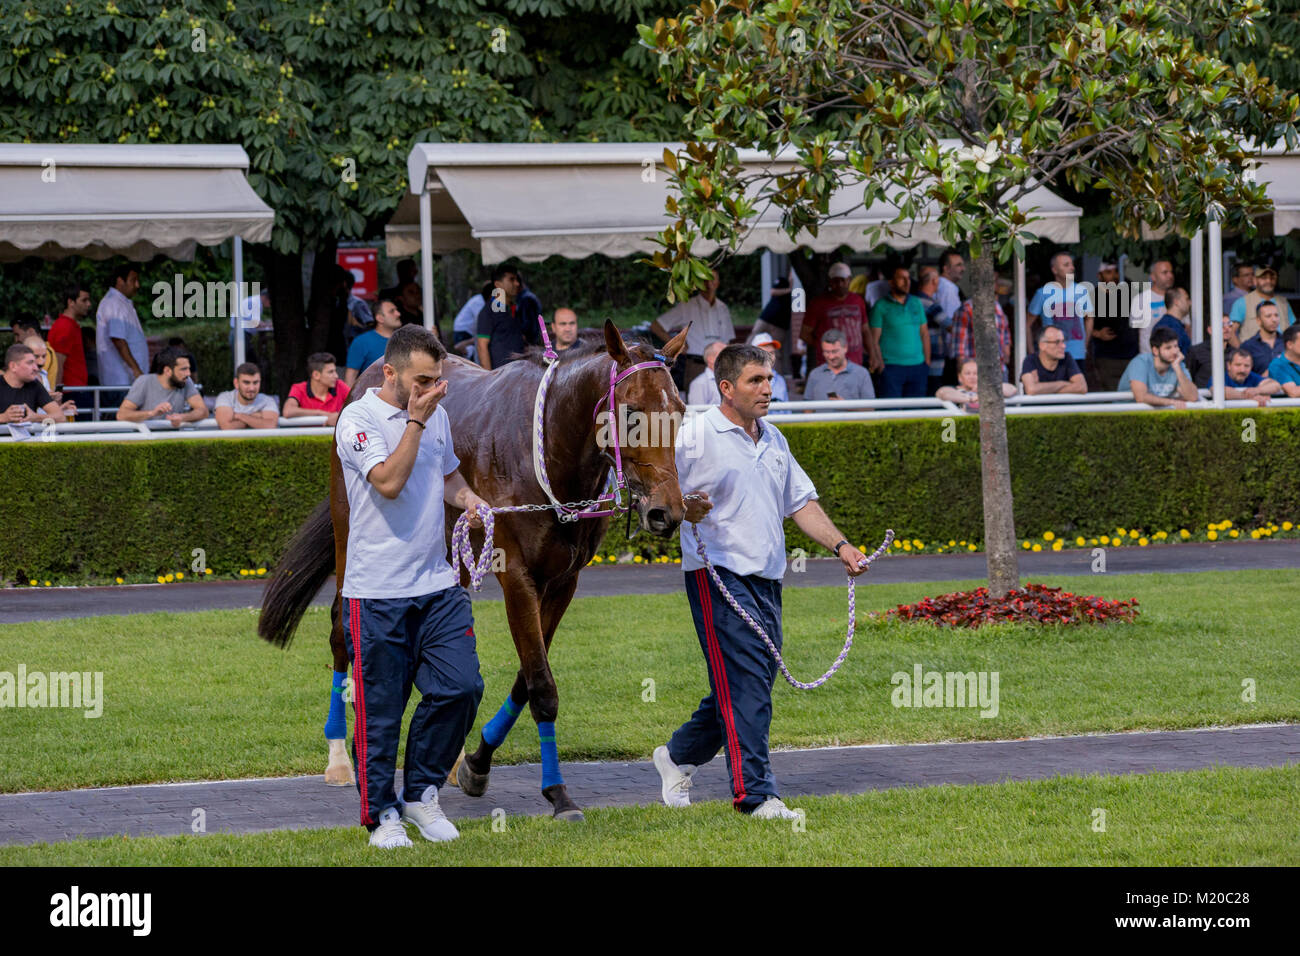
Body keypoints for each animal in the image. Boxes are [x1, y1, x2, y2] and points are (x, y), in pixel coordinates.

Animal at [257, 321, 696, 822]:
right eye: (632, 412)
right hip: (350, 531)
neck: (545, 447)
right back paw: (338, 757)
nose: (667, 512)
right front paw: (558, 793)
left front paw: (475, 762)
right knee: (340, 628)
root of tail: (367, 378)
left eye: (680, 412)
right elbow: (542, 685)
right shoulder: (518, 576)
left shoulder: (564, 581)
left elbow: (526, 677)